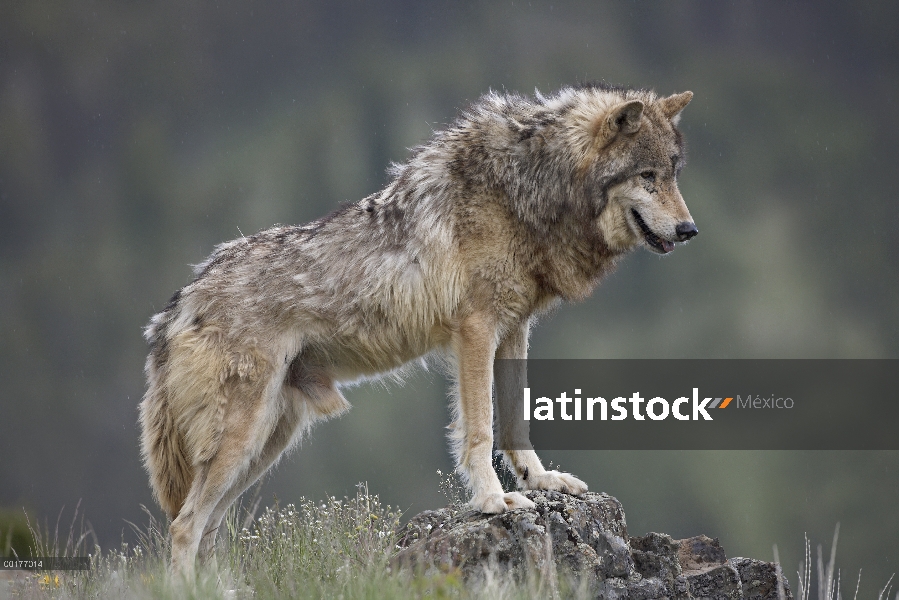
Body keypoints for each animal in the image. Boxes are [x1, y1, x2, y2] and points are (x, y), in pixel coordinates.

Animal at [141, 82, 700, 576]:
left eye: (674, 174)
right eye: (647, 175)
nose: (690, 230)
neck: (528, 187)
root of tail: (180, 303)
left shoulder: (514, 328)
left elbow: (516, 421)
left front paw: (541, 479)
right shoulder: (476, 328)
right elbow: (479, 429)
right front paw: (494, 500)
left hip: (266, 442)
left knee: (209, 528)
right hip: (243, 438)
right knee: (185, 526)